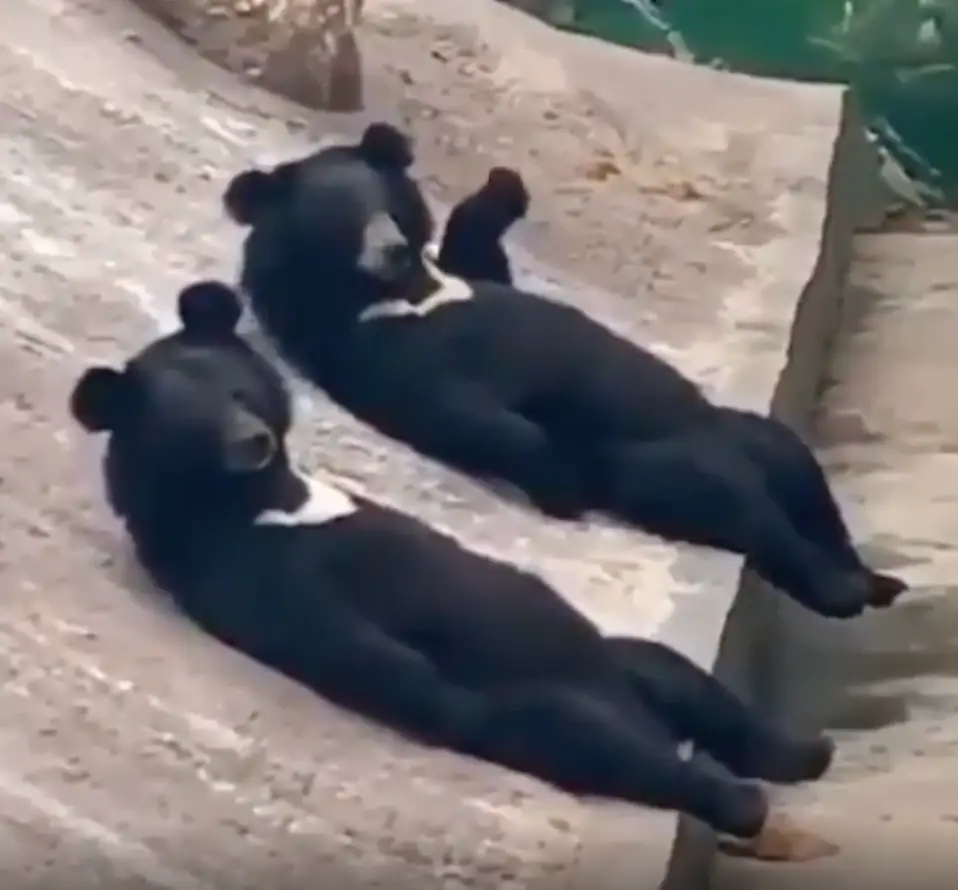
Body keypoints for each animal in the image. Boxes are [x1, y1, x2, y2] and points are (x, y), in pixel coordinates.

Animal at [70, 279, 838, 861]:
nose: (252, 440)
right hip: (546, 701)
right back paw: (738, 797)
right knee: (594, 738)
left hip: (621, 661)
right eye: (191, 419)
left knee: (681, 680)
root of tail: (645, 714)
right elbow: (372, 647)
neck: (260, 502)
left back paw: (805, 751)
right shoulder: (265, 578)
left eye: (241, 392)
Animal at [223, 122, 908, 622]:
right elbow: (460, 407)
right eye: (340, 220)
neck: (392, 292)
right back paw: (844, 590)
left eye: (387, 205)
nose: (390, 248)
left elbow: (481, 254)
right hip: (659, 465)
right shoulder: (369, 347)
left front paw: (503, 187)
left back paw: (876, 577)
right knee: (743, 510)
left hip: (741, 432)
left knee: (800, 475)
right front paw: (560, 480)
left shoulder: (456, 280)